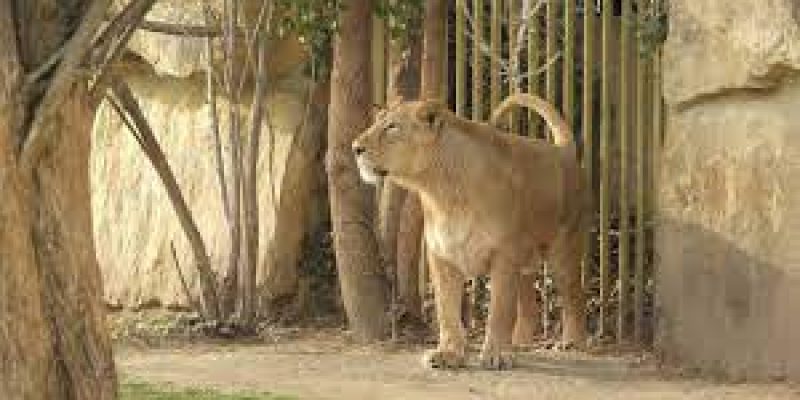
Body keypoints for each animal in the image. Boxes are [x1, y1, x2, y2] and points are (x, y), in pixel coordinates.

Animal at [352, 93, 587, 369]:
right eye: (377, 121)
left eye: (392, 127)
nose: (355, 148)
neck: (441, 192)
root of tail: (562, 149)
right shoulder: (442, 256)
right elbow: (446, 309)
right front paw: (448, 353)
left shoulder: (504, 255)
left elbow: (500, 310)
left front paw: (496, 355)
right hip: (524, 259)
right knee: (527, 299)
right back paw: (520, 343)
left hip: (563, 250)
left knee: (573, 294)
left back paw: (571, 342)